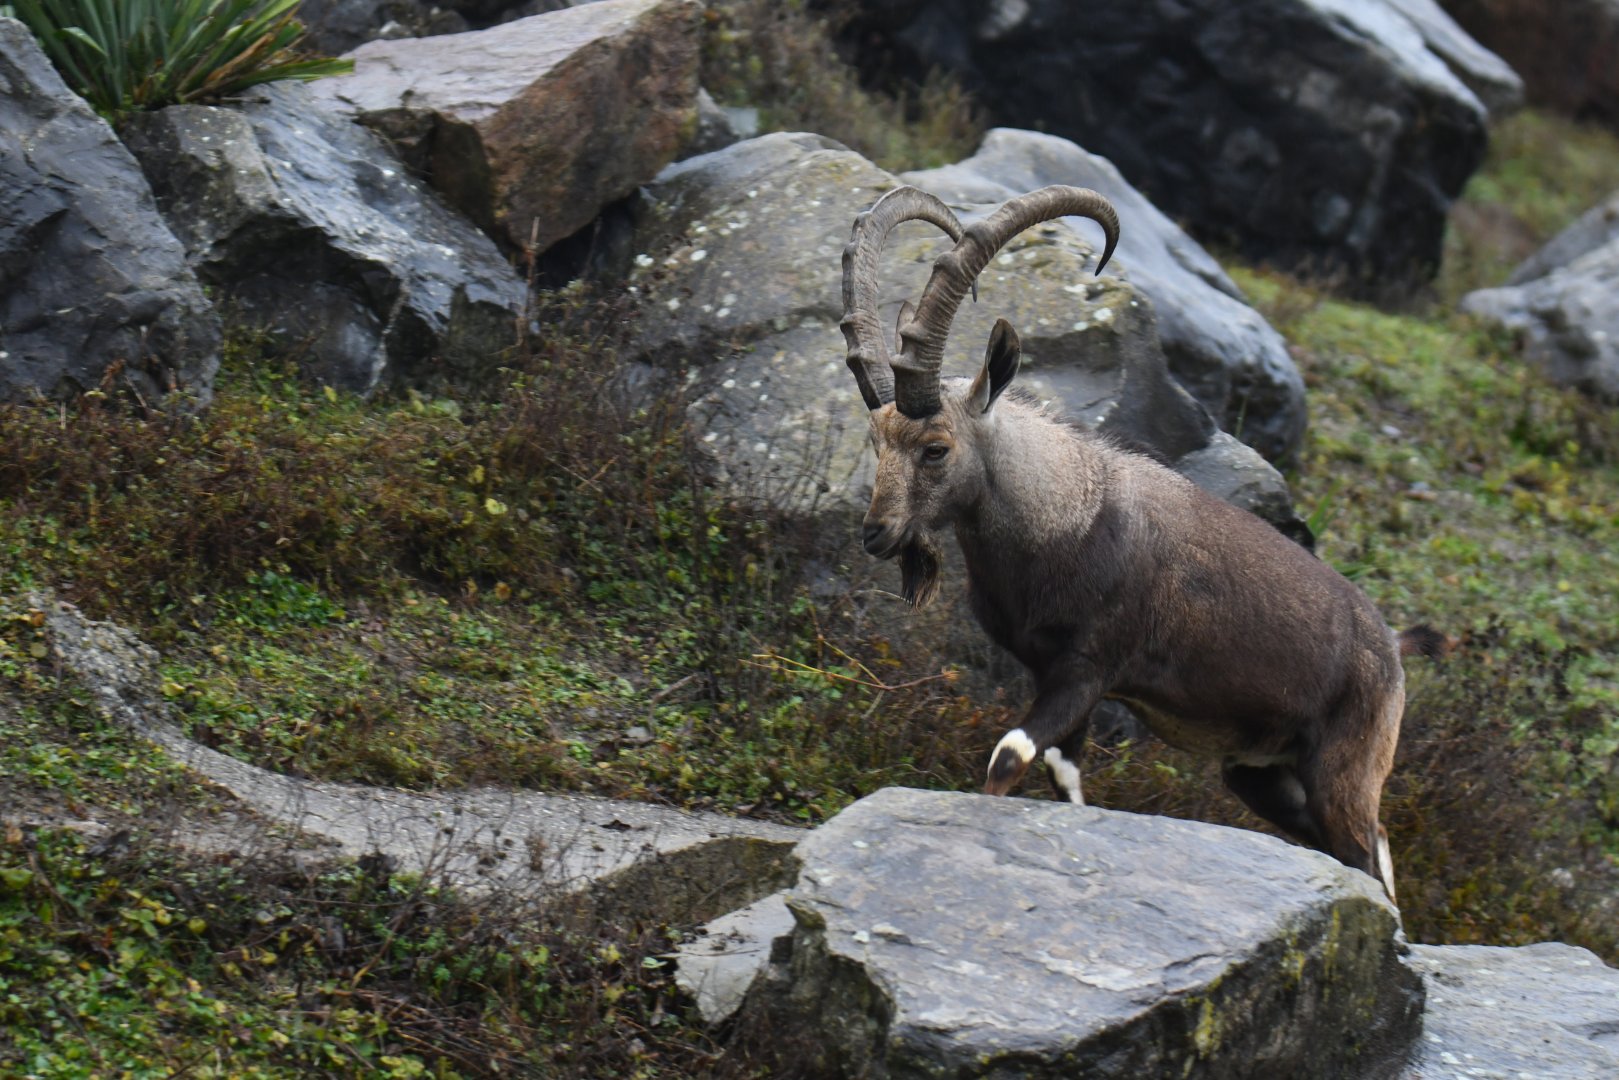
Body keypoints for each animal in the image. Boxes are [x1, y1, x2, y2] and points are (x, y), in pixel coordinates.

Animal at [840, 185, 1441, 900]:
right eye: (875, 440)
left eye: (936, 448)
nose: (876, 534)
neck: (1064, 517)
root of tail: (1393, 646)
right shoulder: (1054, 679)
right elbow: (1063, 776)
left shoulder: (1087, 669)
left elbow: (1008, 757)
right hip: (1260, 772)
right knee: (1365, 845)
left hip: (1345, 767)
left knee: (1364, 848)